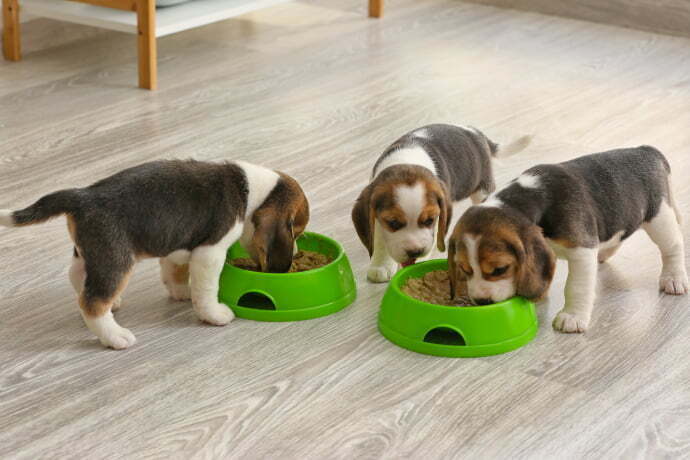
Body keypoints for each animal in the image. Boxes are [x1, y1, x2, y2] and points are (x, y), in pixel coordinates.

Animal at [0, 160, 306, 350]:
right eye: (298, 232)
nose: (297, 253)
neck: (253, 191)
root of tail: (82, 195)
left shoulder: (178, 244)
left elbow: (175, 271)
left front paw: (181, 293)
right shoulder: (209, 252)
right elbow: (207, 290)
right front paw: (214, 314)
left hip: (92, 251)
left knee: (77, 276)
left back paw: (112, 305)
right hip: (116, 259)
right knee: (91, 303)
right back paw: (115, 336)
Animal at [352, 122, 528, 282]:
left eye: (429, 220)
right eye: (393, 223)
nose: (415, 252)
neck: (406, 161)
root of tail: (475, 132)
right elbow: (379, 240)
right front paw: (380, 266)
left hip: (482, 189)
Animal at [446, 146, 684, 332]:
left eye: (499, 270)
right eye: (465, 269)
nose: (481, 301)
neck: (529, 199)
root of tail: (647, 150)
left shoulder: (582, 249)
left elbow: (576, 287)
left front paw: (572, 317)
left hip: (659, 217)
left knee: (673, 246)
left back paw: (674, 279)